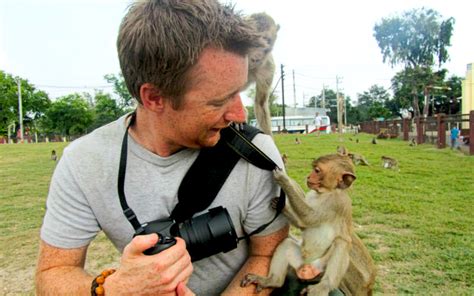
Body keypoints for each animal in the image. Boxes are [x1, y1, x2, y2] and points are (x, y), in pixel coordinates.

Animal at [243, 154, 376, 294]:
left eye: (317, 171)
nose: (308, 176)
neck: (325, 192)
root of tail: (307, 267)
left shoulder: (335, 203)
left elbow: (308, 217)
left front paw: (283, 179)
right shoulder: (312, 195)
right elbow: (304, 224)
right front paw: (281, 205)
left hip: (321, 266)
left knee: (341, 243)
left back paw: (324, 286)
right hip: (299, 260)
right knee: (287, 244)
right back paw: (272, 281)